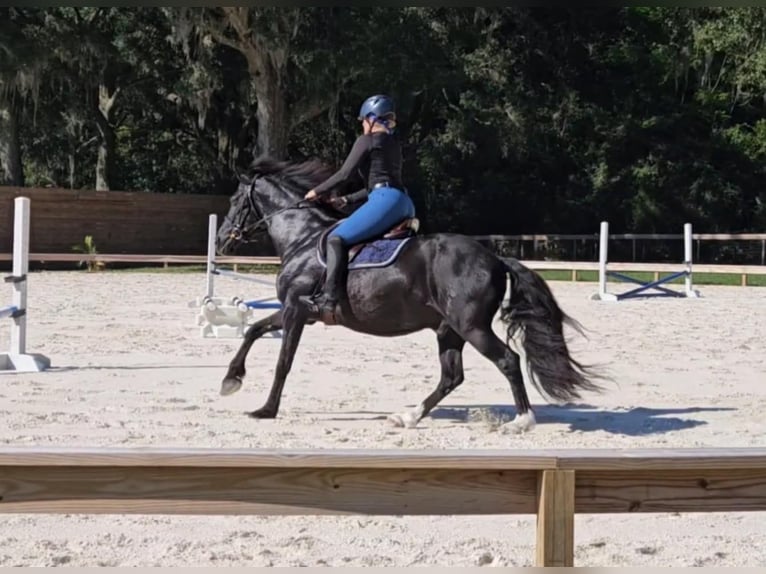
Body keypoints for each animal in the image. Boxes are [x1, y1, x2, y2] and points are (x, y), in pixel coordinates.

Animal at [214, 158, 600, 432]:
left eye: (234, 199)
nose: (220, 240)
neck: (304, 236)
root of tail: (495, 258)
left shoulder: (296, 311)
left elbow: (283, 361)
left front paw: (266, 409)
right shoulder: (296, 310)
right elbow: (253, 330)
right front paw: (231, 380)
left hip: (471, 326)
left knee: (507, 360)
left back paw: (522, 421)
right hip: (449, 330)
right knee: (452, 376)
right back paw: (409, 417)